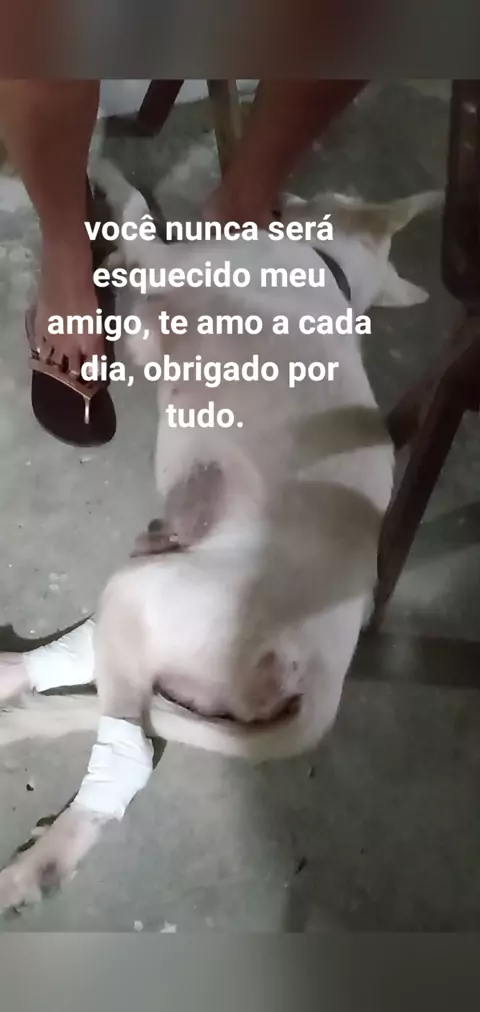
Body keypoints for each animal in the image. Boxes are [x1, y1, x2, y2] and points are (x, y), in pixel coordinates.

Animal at [0, 161, 441, 913]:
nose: (288, 196)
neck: (329, 268)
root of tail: (321, 671)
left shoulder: (165, 265)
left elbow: (140, 217)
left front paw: (109, 181)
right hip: (156, 587)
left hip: (146, 591)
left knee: (130, 749)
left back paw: (39, 865)